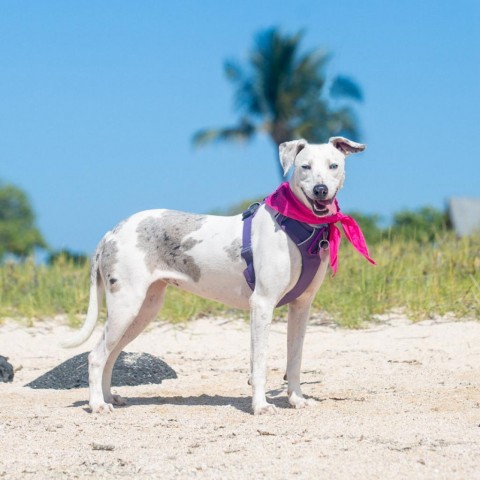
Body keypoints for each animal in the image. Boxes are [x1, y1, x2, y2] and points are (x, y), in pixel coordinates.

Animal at [62, 136, 366, 416]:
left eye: (333, 165)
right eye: (305, 166)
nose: (320, 190)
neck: (299, 223)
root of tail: (111, 232)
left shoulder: (301, 307)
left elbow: (294, 359)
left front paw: (296, 399)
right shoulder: (262, 305)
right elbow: (260, 362)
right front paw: (260, 406)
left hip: (142, 312)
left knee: (110, 355)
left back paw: (109, 397)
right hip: (126, 306)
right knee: (96, 356)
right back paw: (97, 404)